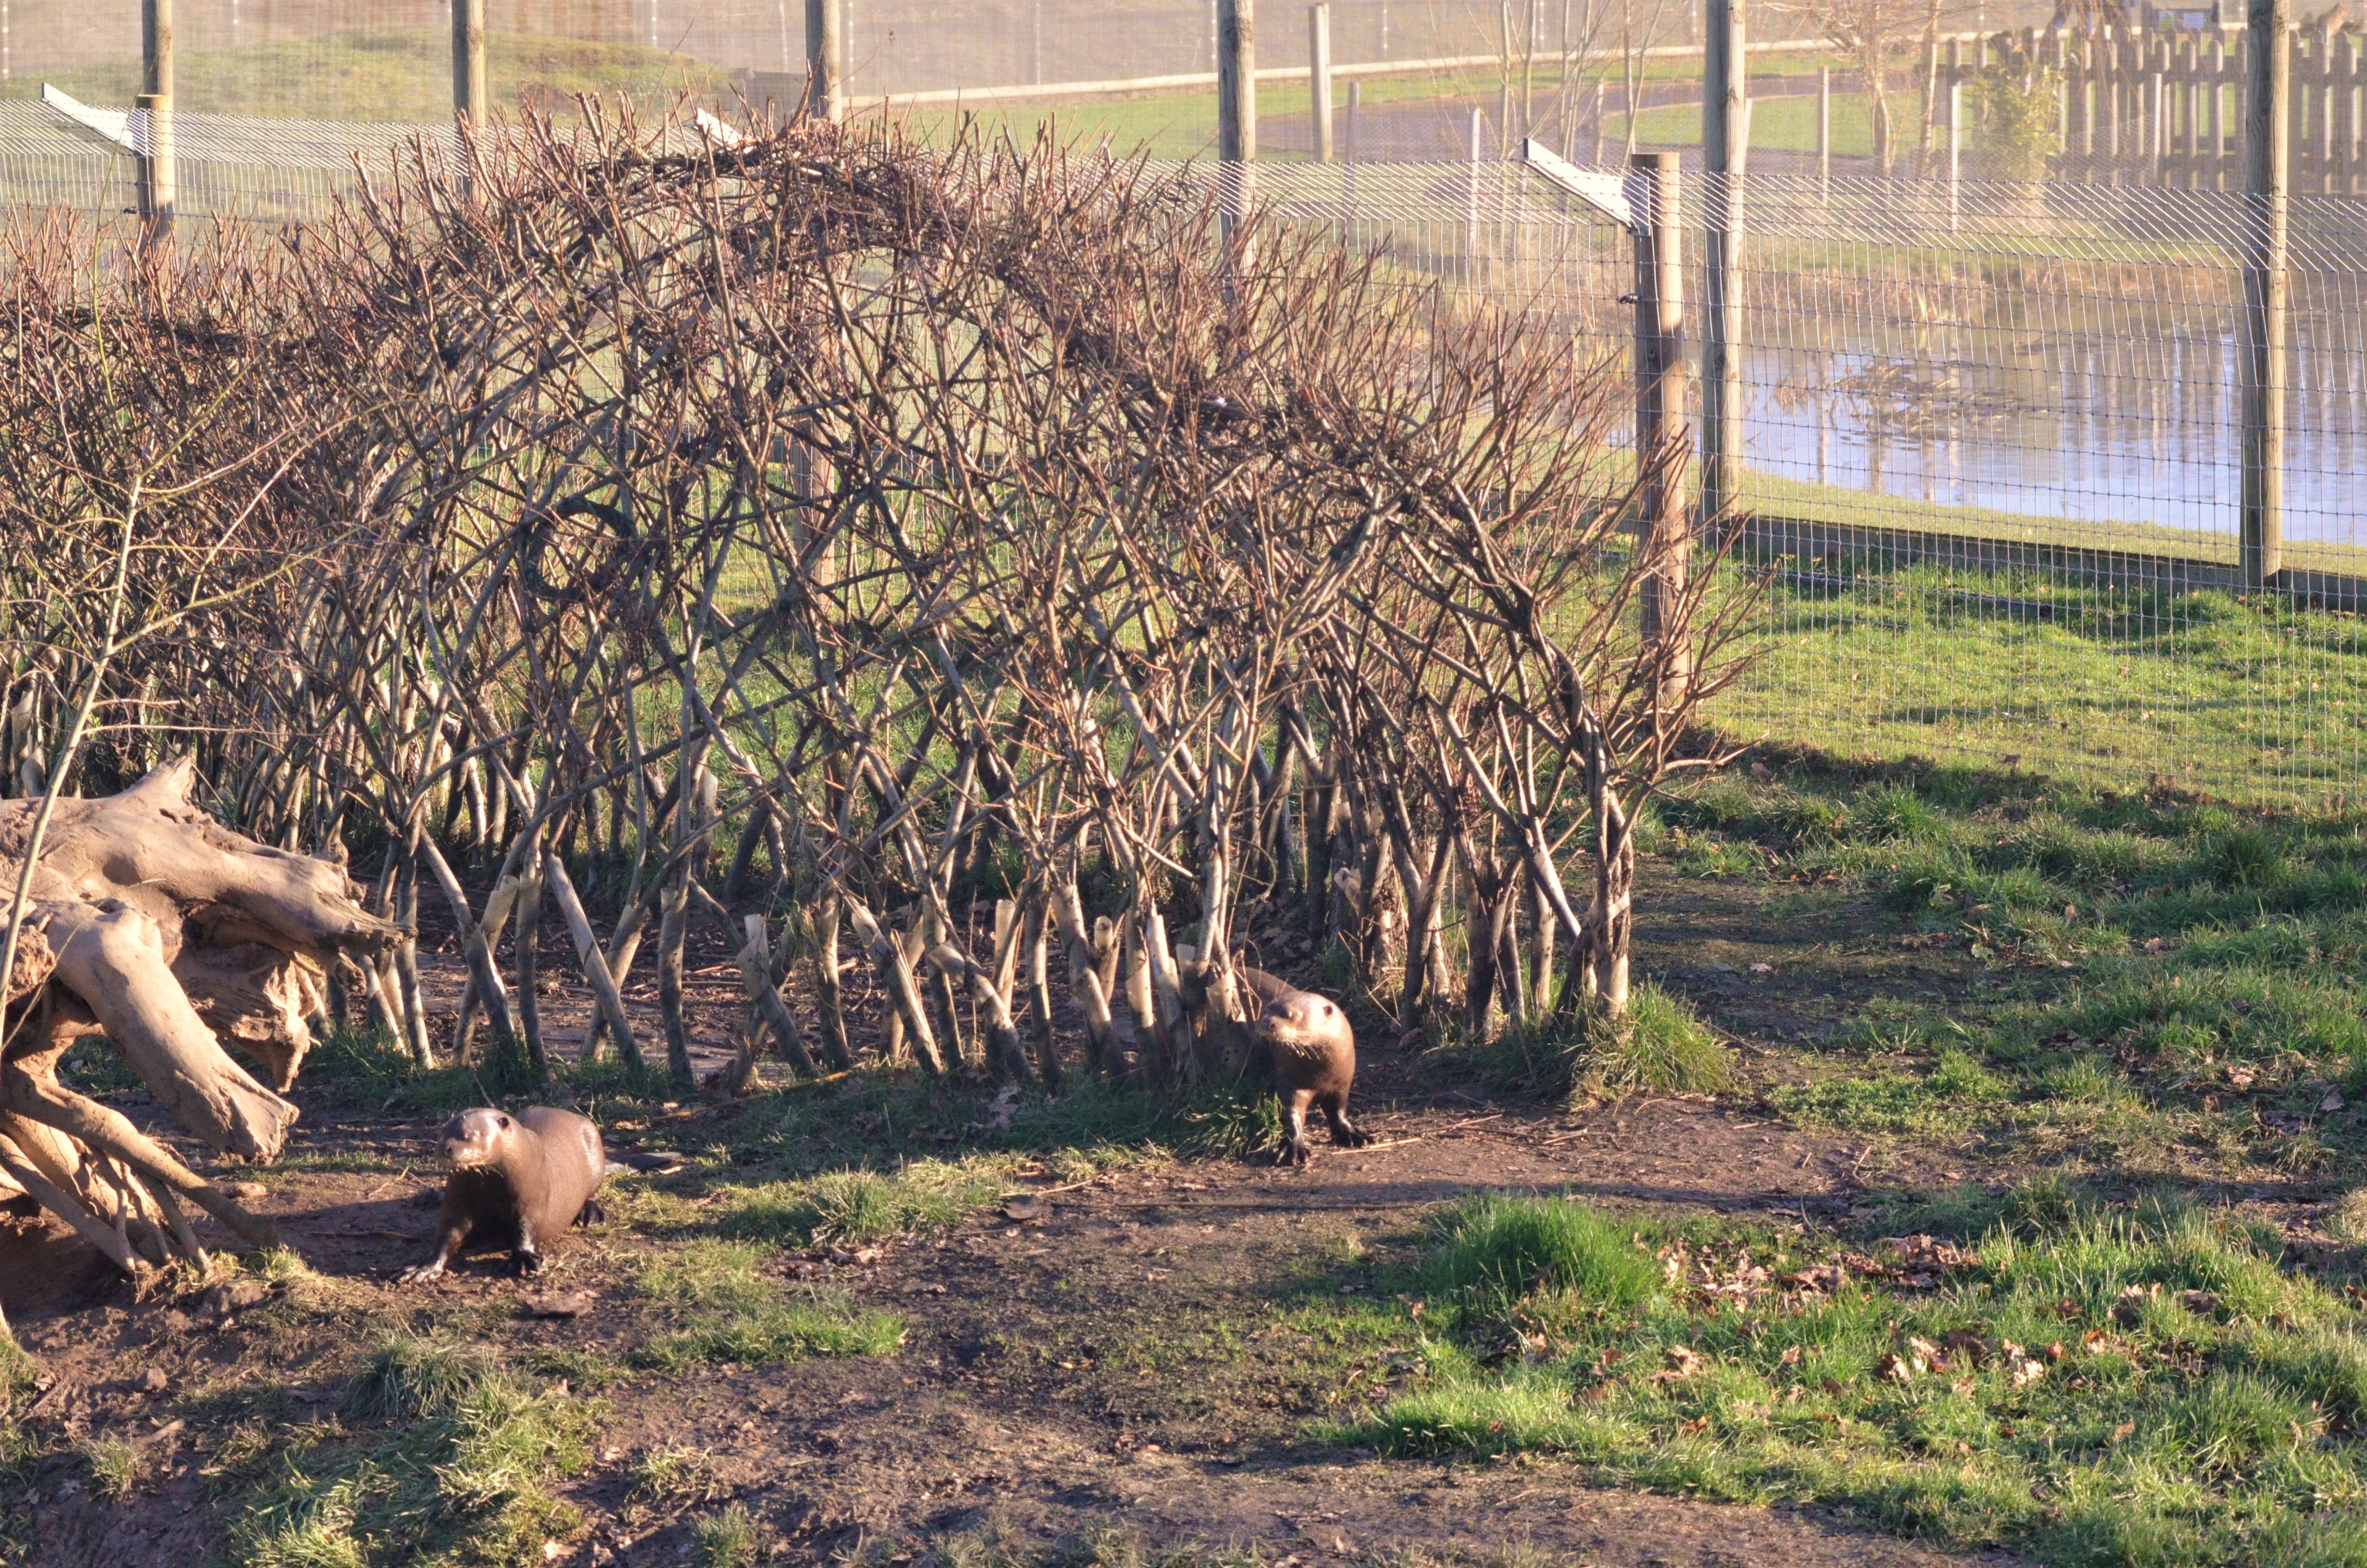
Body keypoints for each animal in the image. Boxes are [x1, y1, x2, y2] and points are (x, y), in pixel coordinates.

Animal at [400, 1106, 608, 1283]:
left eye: (467, 1135)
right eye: (441, 1134)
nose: (444, 1149)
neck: (491, 1191)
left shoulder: (531, 1196)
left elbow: (526, 1228)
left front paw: (524, 1260)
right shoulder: (456, 1200)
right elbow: (447, 1233)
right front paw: (424, 1268)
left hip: (595, 1153)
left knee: (592, 1193)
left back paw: (590, 1215)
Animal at [1242, 966, 1371, 1166]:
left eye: (1288, 1014)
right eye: (1265, 1011)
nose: (1265, 1022)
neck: (1319, 1074)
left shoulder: (1342, 1082)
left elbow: (1338, 1109)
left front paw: (1351, 1133)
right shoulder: (1289, 1081)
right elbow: (1292, 1113)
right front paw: (1294, 1148)